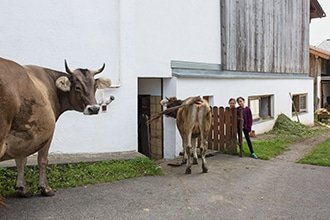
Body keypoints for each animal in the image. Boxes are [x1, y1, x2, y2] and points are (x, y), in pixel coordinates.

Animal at [0, 57, 113, 198]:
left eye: (95, 87)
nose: (94, 108)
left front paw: (22, 188)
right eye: (77, 87)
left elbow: (21, 160)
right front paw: (45, 188)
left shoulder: (22, 134)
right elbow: (42, 160)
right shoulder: (47, 133)